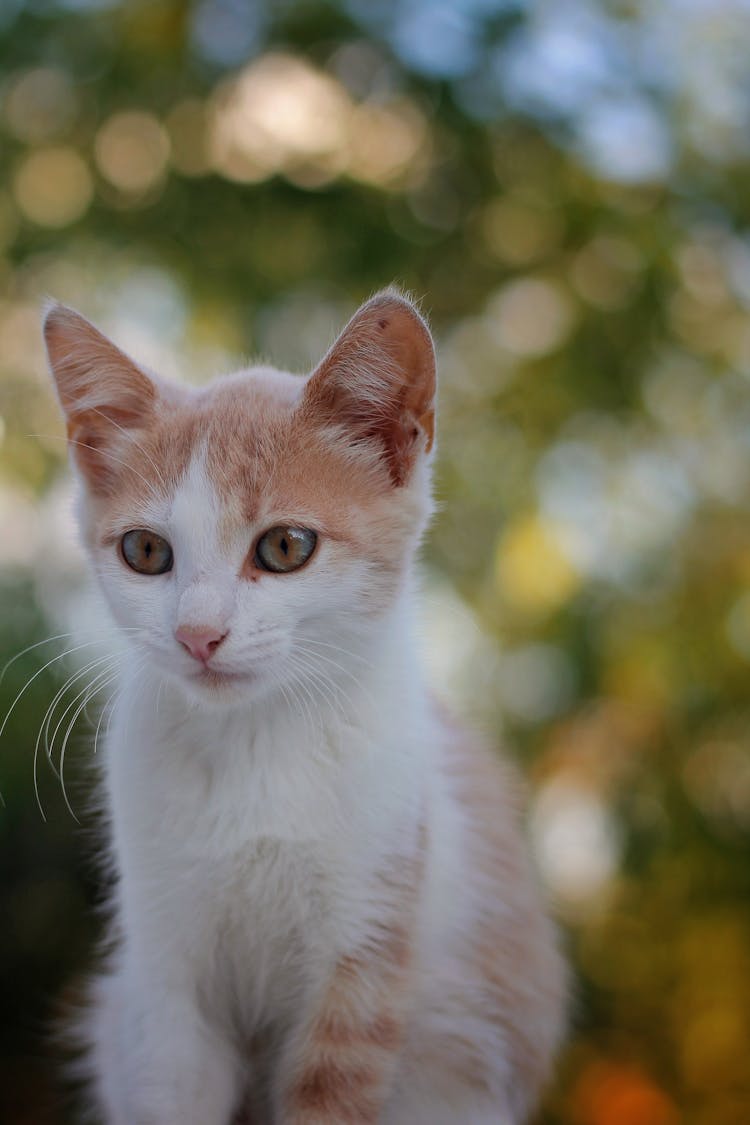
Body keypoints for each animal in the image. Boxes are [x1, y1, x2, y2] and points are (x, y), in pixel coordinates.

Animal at [41, 292, 566, 1125]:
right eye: (145, 551)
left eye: (286, 546)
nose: (197, 634)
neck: (256, 747)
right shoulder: (163, 981)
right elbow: (171, 1085)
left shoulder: (366, 947)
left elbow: (330, 1089)